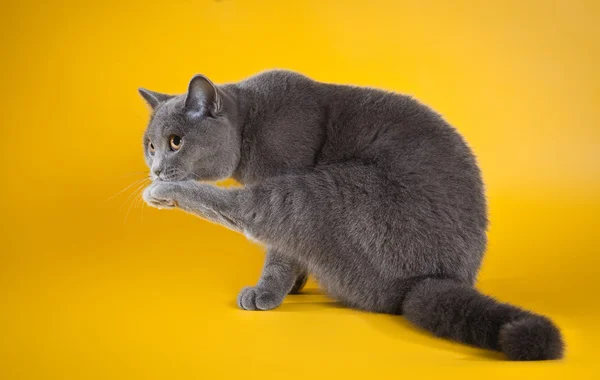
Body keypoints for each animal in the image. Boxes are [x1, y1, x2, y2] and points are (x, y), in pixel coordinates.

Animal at [139, 70, 564, 360]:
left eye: (175, 142)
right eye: (150, 146)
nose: (156, 170)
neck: (249, 126)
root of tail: (437, 278)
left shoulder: (286, 162)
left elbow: (279, 252)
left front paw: (267, 292)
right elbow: (288, 254)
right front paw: (294, 285)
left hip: (329, 191)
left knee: (254, 211)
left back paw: (163, 195)